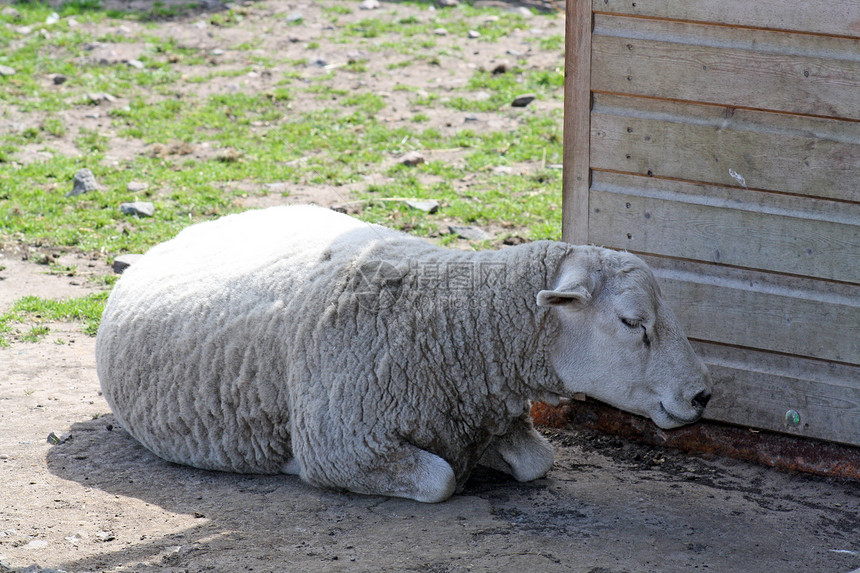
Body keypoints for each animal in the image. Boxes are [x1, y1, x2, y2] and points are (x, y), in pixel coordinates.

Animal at [95, 204, 712, 500]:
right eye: (632, 322)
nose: (703, 395)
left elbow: (538, 461)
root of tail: (195, 227)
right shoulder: (340, 444)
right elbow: (440, 480)